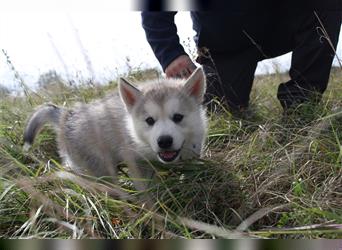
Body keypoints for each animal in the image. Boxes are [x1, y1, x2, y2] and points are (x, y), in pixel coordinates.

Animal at [24, 67, 208, 177]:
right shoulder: (137, 163)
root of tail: (67, 115)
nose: (164, 141)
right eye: (149, 120)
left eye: (178, 117)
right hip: (100, 169)